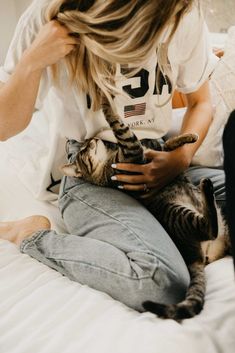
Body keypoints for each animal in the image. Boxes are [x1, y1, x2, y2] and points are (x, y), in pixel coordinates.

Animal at [61, 97, 230, 320]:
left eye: (86, 145)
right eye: (82, 151)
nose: (92, 140)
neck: (107, 162)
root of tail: (192, 255)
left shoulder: (152, 153)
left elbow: (168, 146)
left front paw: (188, 137)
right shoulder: (131, 150)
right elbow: (119, 124)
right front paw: (105, 100)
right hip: (177, 213)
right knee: (208, 229)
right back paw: (205, 188)